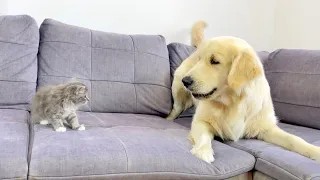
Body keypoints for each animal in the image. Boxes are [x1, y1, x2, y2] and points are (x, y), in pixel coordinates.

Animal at [166, 20, 320, 163]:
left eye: (214, 61)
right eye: (199, 60)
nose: (186, 81)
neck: (233, 102)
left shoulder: (266, 128)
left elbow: (294, 139)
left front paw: (315, 151)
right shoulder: (201, 121)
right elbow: (203, 136)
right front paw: (203, 152)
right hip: (178, 93)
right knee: (175, 109)